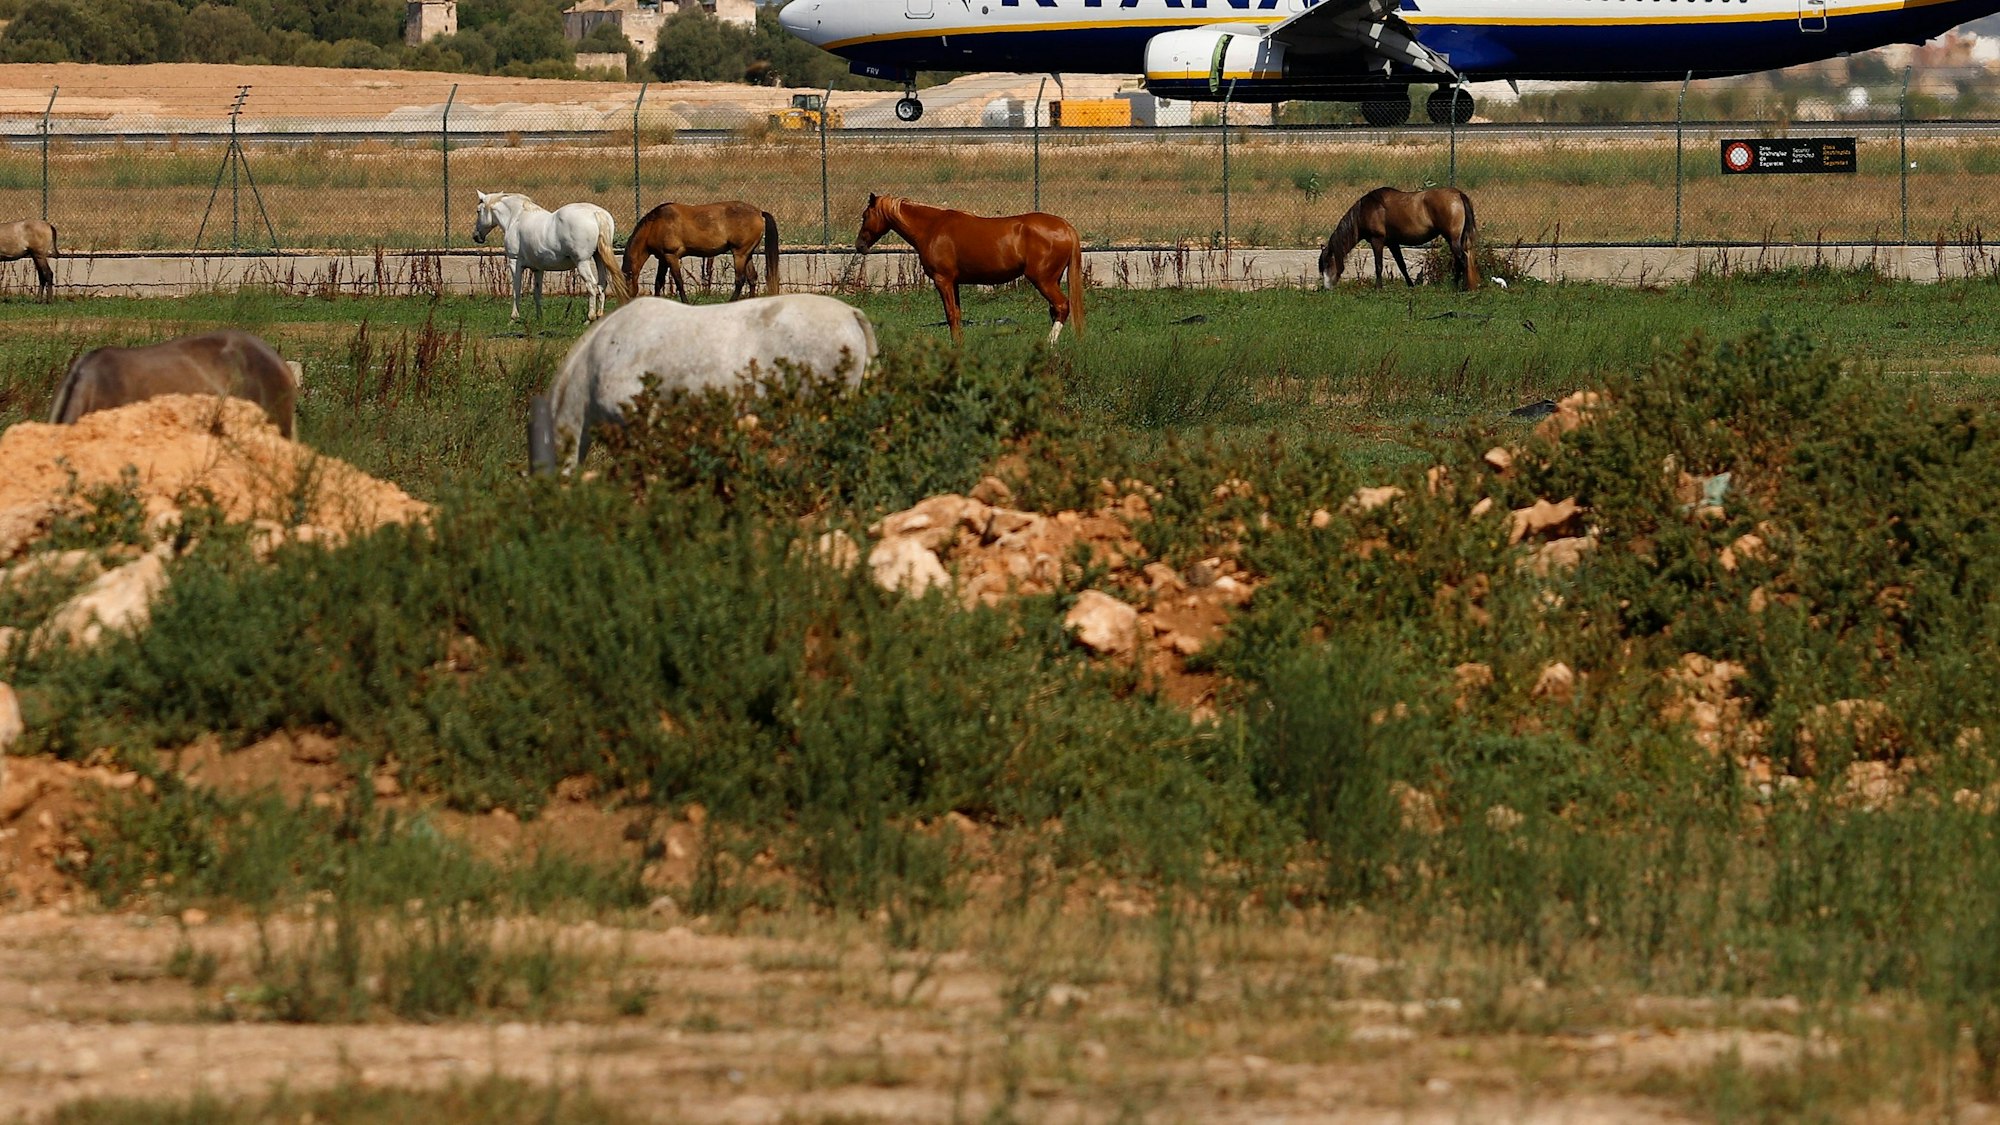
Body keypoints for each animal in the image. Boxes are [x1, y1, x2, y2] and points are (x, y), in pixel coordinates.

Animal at [472, 191, 631, 321]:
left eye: (478, 211)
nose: (476, 236)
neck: (516, 217)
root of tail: (596, 213)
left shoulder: (514, 262)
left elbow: (517, 290)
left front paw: (513, 318)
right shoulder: (537, 269)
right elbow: (537, 293)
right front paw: (539, 318)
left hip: (582, 262)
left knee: (591, 286)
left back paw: (590, 318)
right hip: (599, 259)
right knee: (601, 285)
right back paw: (599, 316)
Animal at [623, 200, 780, 303]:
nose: (624, 303)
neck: (655, 224)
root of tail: (759, 212)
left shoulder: (671, 256)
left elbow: (679, 282)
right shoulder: (663, 259)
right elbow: (658, 282)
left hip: (740, 254)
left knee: (740, 280)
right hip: (747, 254)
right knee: (752, 278)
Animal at [854, 193, 1083, 344]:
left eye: (865, 215)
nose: (859, 246)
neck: (932, 227)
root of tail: (1066, 227)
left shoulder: (943, 281)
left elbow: (951, 316)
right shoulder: (954, 283)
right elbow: (957, 314)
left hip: (1043, 280)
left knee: (1062, 306)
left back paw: (1049, 343)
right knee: (1055, 310)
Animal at [1318, 187, 1480, 291]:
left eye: (1328, 264)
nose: (1326, 288)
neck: (1367, 210)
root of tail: (1458, 194)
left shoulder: (1377, 241)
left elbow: (1378, 266)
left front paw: (1378, 289)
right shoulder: (1393, 243)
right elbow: (1401, 265)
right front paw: (1411, 286)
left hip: (1452, 239)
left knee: (1462, 259)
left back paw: (1460, 288)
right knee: (1461, 259)